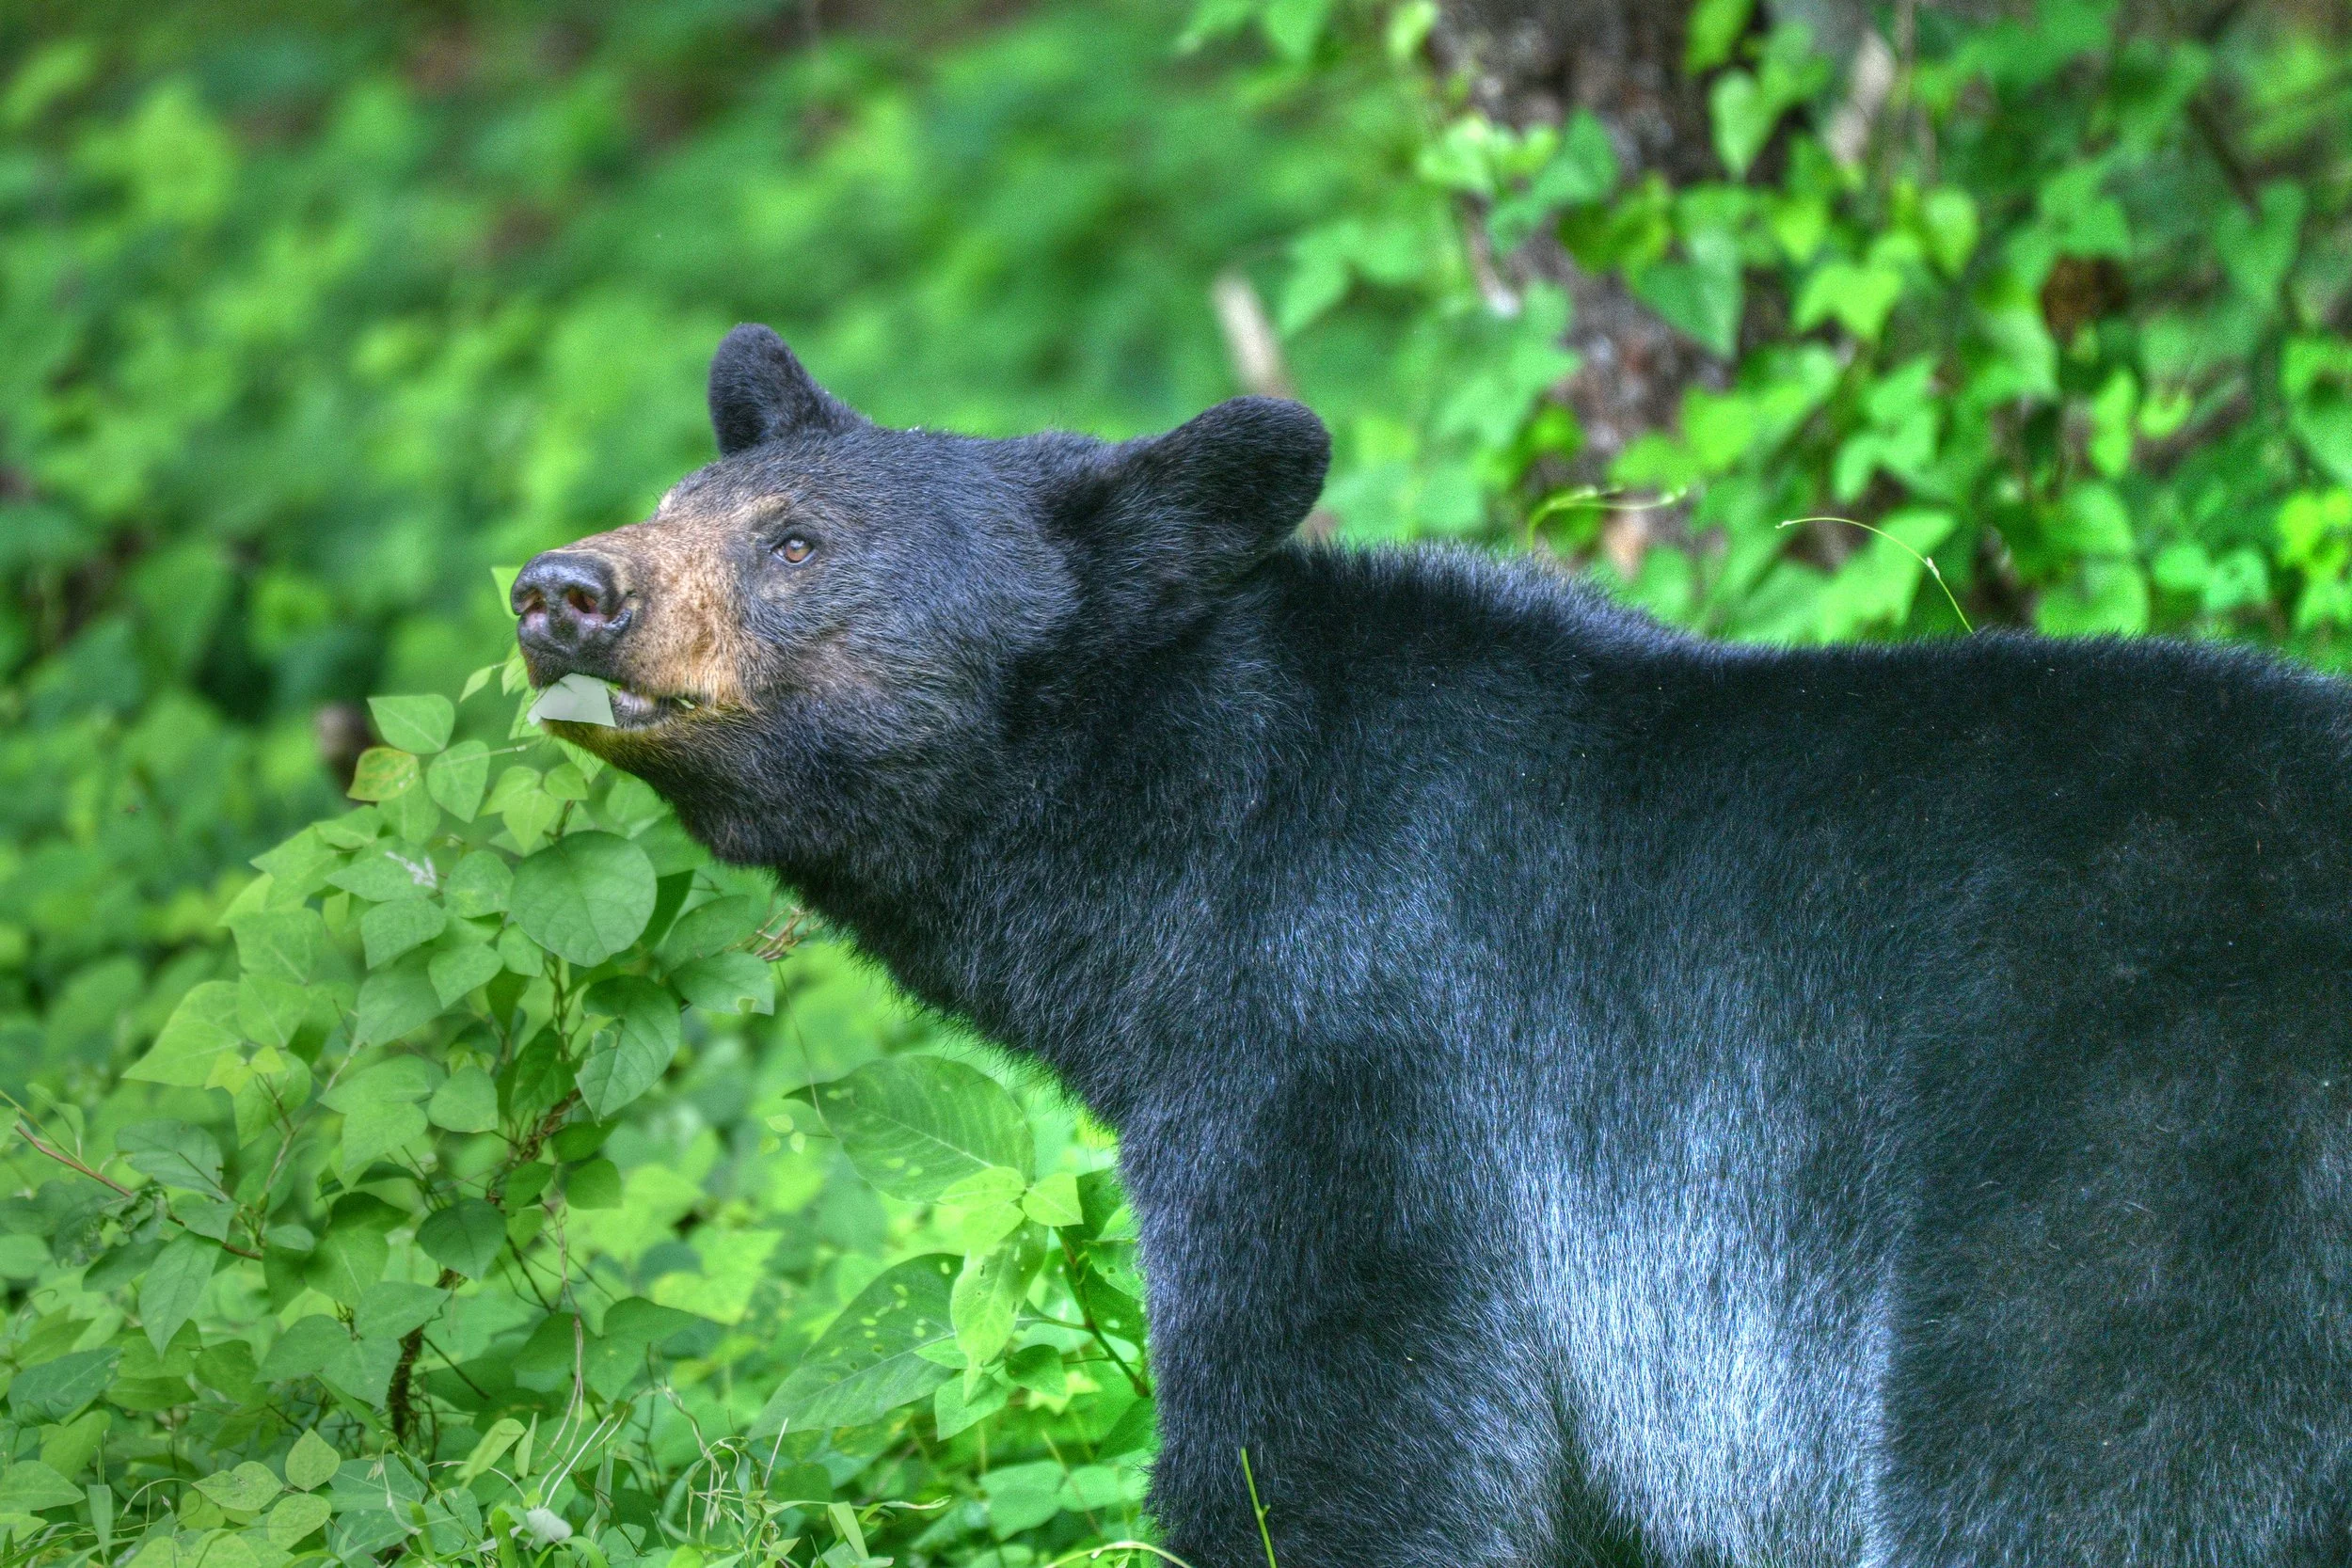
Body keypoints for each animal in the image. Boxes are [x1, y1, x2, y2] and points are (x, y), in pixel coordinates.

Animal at [513, 323, 2352, 1567]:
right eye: (682, 493)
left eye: (794, 539)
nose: (561, 588)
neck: (1197, 843)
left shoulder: (1359, 1076)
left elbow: (1335, 1449)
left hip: (2133, 1182)